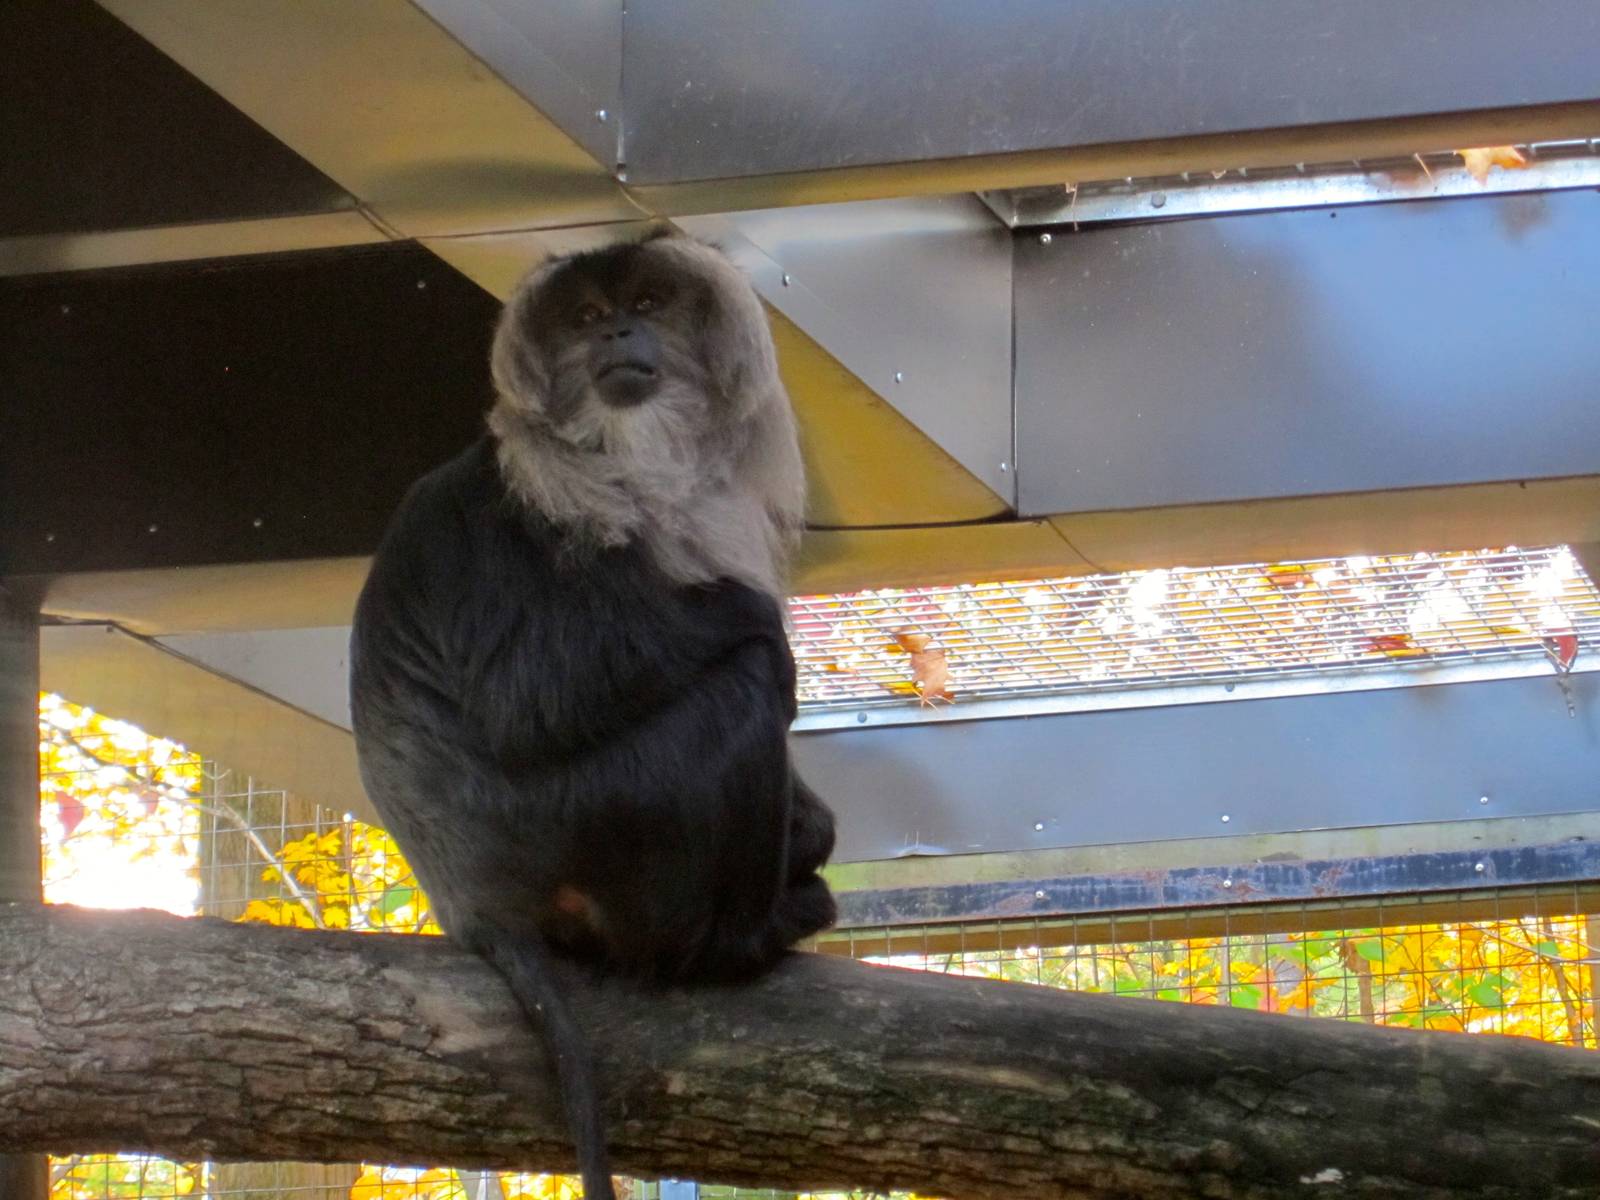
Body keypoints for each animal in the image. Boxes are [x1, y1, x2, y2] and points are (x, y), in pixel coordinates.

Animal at [348, 233, 838, 1200]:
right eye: (583, 317)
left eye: (645, 303)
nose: (614, 330)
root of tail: (470, 900)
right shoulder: (505, 510)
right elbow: (535, 694)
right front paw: (758, 625)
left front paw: (813, 828)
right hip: (591, 821)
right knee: (742, 683)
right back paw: (743, 938)